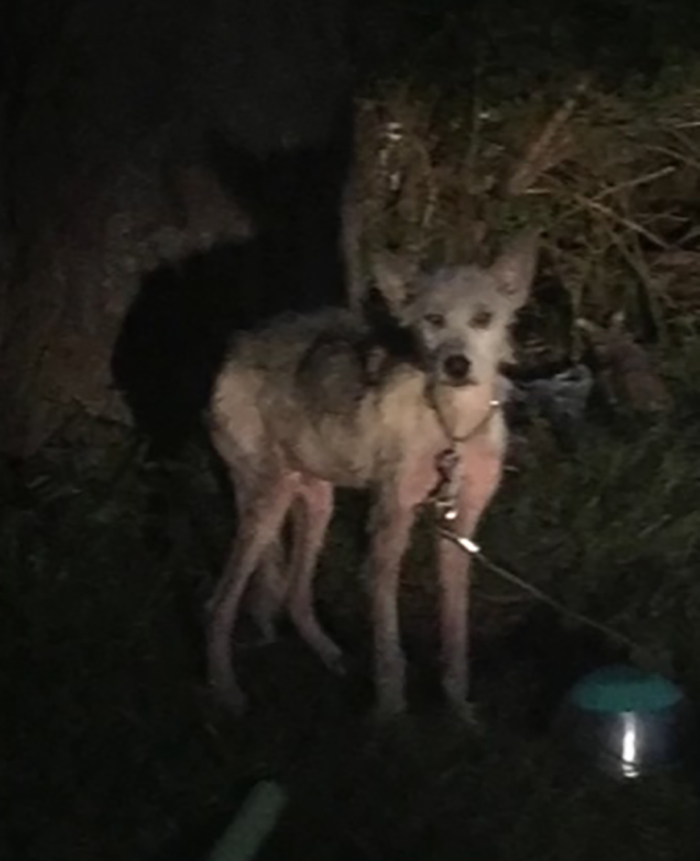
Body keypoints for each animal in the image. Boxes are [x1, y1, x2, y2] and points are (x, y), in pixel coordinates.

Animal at [205, 230, 540, 720]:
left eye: (483, 318)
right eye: (433, 320)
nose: (457, 365)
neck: (451, 429)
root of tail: (240, 344)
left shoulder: (459, 531)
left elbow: (455, 634)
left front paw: (459, 712)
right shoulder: (389, 525)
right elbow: (387, 640)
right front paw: (390, 712)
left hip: (314, 500)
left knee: (293, 595)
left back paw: (331, 657)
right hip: (267, 503)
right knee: (219, 604)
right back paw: (227, 694)